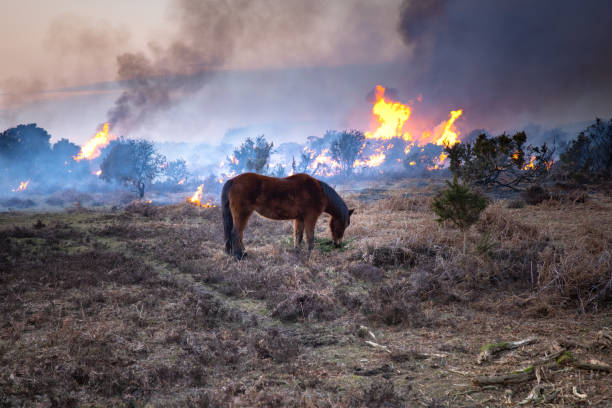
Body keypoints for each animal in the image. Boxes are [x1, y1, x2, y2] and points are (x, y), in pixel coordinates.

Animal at [222, 172, 354, 258]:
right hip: (243, 214)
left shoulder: (299, 218)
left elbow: (298, 236)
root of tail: (233, 180)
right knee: (236, 233)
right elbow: (310, 236)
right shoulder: (310, 218)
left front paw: (297, 251)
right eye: (343, 225)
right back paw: (239, 256)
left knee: (239, 235)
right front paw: (311, 252)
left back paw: (243, 253)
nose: (338, 244)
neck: (319, 191)